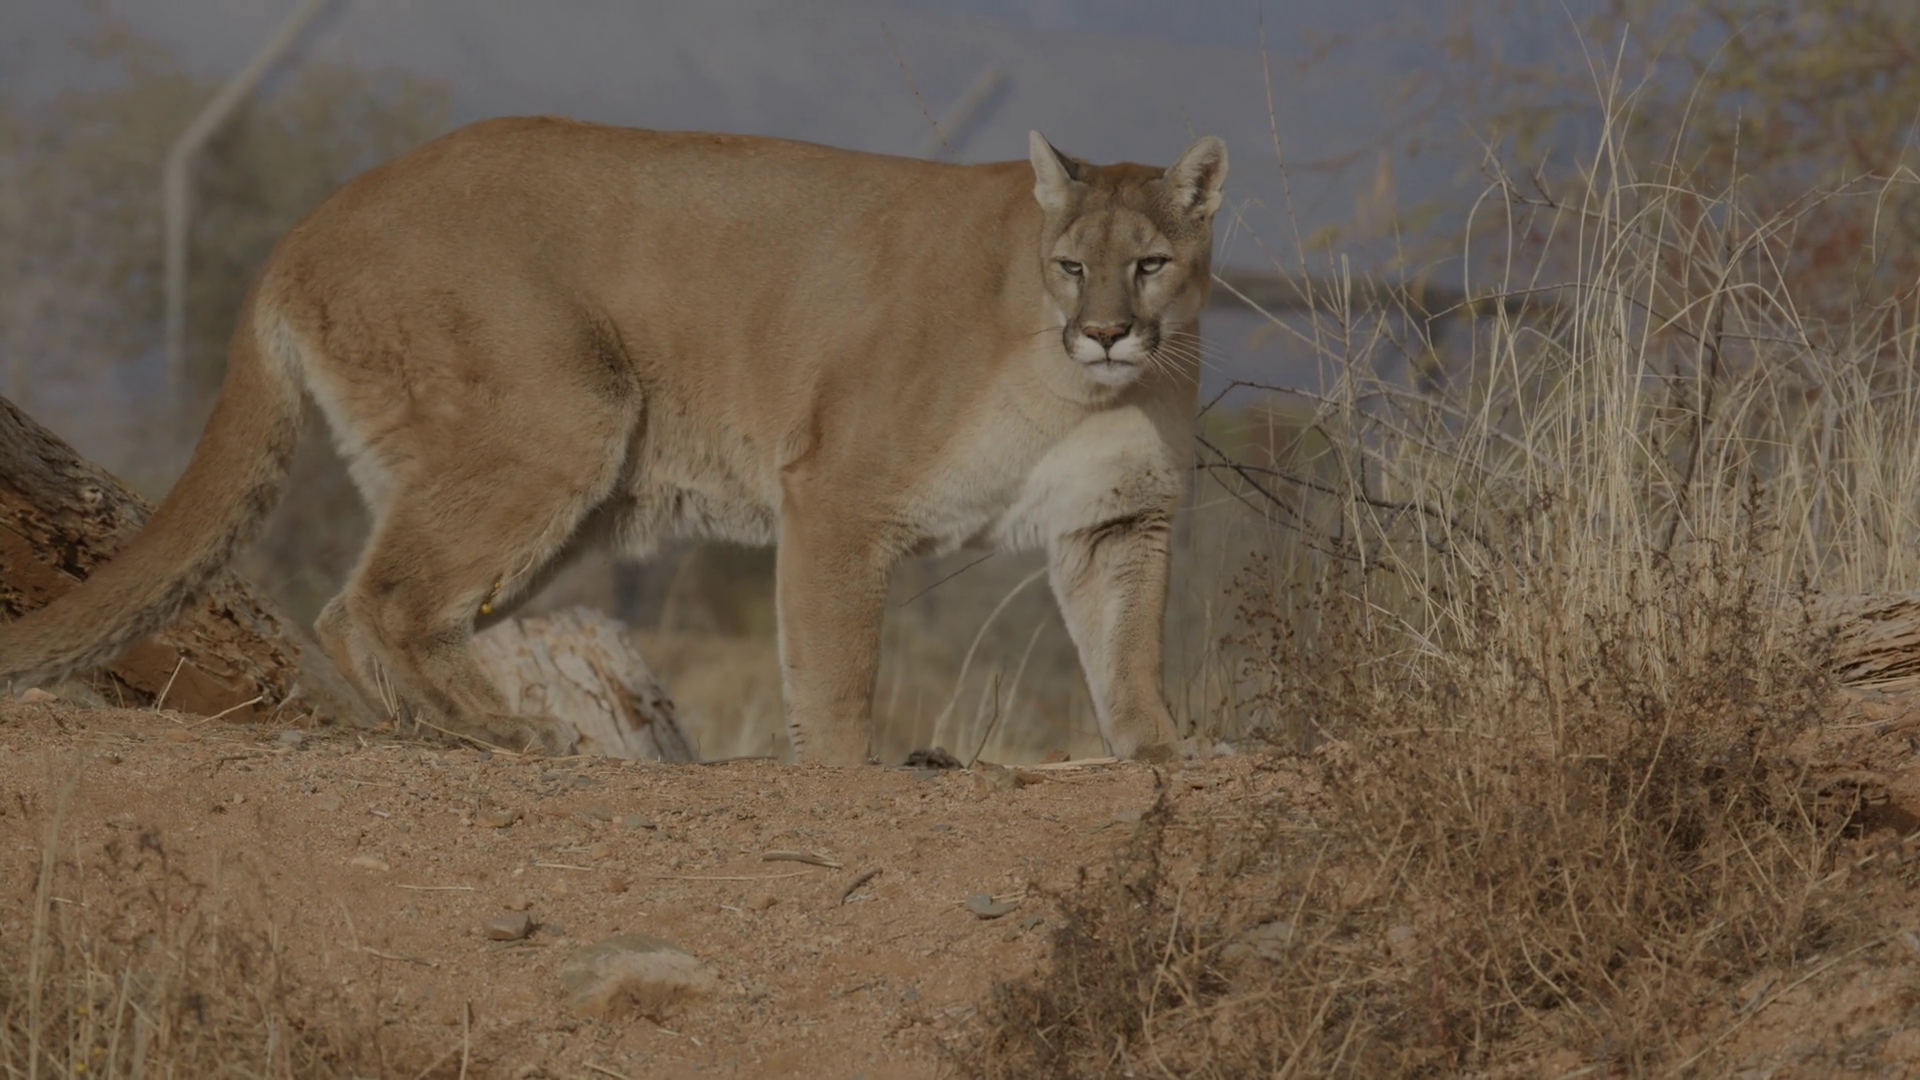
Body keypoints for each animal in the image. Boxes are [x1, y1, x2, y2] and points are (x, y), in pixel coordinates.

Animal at [0, 117, 1228, 765]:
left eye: (1151, 264)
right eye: (1070, 265)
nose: (1108, 331)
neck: (1075, 391)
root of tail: (311, 221)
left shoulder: (1119, 518)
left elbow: (1127, 647)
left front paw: (1162, 750)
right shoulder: (837, 490)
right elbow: (836, 658)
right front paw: (846, 766)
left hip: (572, 488)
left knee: (390, 606)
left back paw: (451, 728)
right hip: (563, 417)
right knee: (371, 602)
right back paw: (501, 732)